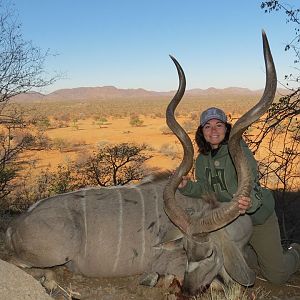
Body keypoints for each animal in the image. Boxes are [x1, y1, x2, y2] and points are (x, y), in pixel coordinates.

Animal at [4, 31, 276, 294]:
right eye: (186, 250)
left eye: (209, 253)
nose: (189, 290)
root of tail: (16, 225)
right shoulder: (169, 263)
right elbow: (215, 282)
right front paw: (156, 279)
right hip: (53, 254)